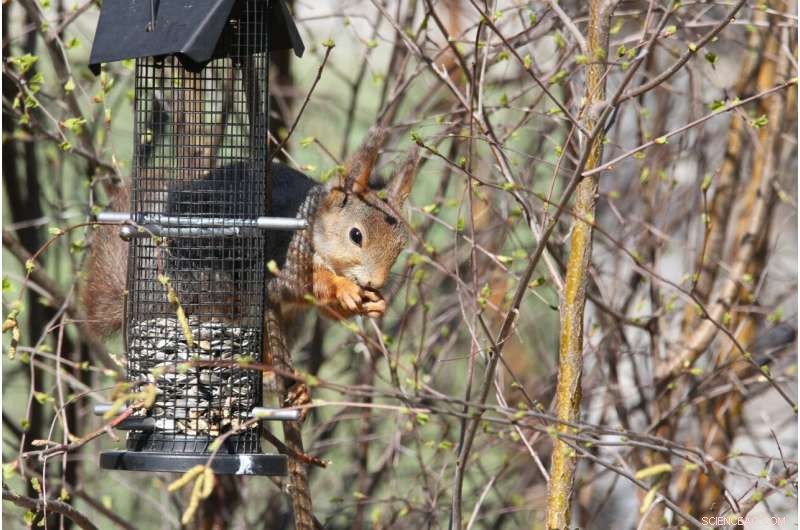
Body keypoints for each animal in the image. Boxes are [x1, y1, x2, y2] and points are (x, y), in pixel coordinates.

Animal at [81, 128, 419, 338]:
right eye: (356, 235)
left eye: (400, 245)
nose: (376, 282)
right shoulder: (284, 256)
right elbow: (306, 284)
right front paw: (343, 287)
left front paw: (376, 303)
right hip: (202, 277)